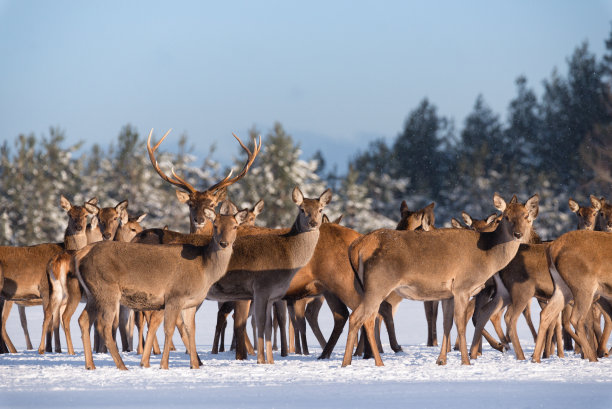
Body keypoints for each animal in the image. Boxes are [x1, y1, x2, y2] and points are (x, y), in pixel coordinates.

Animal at [342, 193, 536, 364]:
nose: (518, 234)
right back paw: (367, 362)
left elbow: (447, 324)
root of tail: (357, 246)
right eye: (506, 217)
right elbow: (460, 323)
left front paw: (441, 360)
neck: (488, 257)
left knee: (367, 318)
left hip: (366, 287)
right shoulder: (462, 287)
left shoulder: (448, 294)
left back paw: (355, 361)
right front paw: (466, 361)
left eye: (526, 215)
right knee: (359, 317)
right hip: (378, 284)